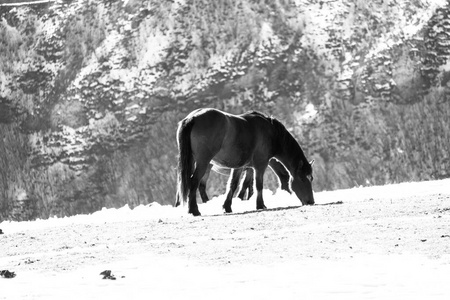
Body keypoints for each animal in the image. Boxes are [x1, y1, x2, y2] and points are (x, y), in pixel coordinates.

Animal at [175, 108, 312, 216]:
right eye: (302, 179)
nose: (311, 201)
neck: (271, 133)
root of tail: (192, 118)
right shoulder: (260, 165)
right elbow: (258, 185)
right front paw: (260, 205)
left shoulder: (240, 167)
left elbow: (234, 184)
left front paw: (227, 206)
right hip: (203, 162)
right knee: (194, 181)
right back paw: (194, 210)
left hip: (192, 162)